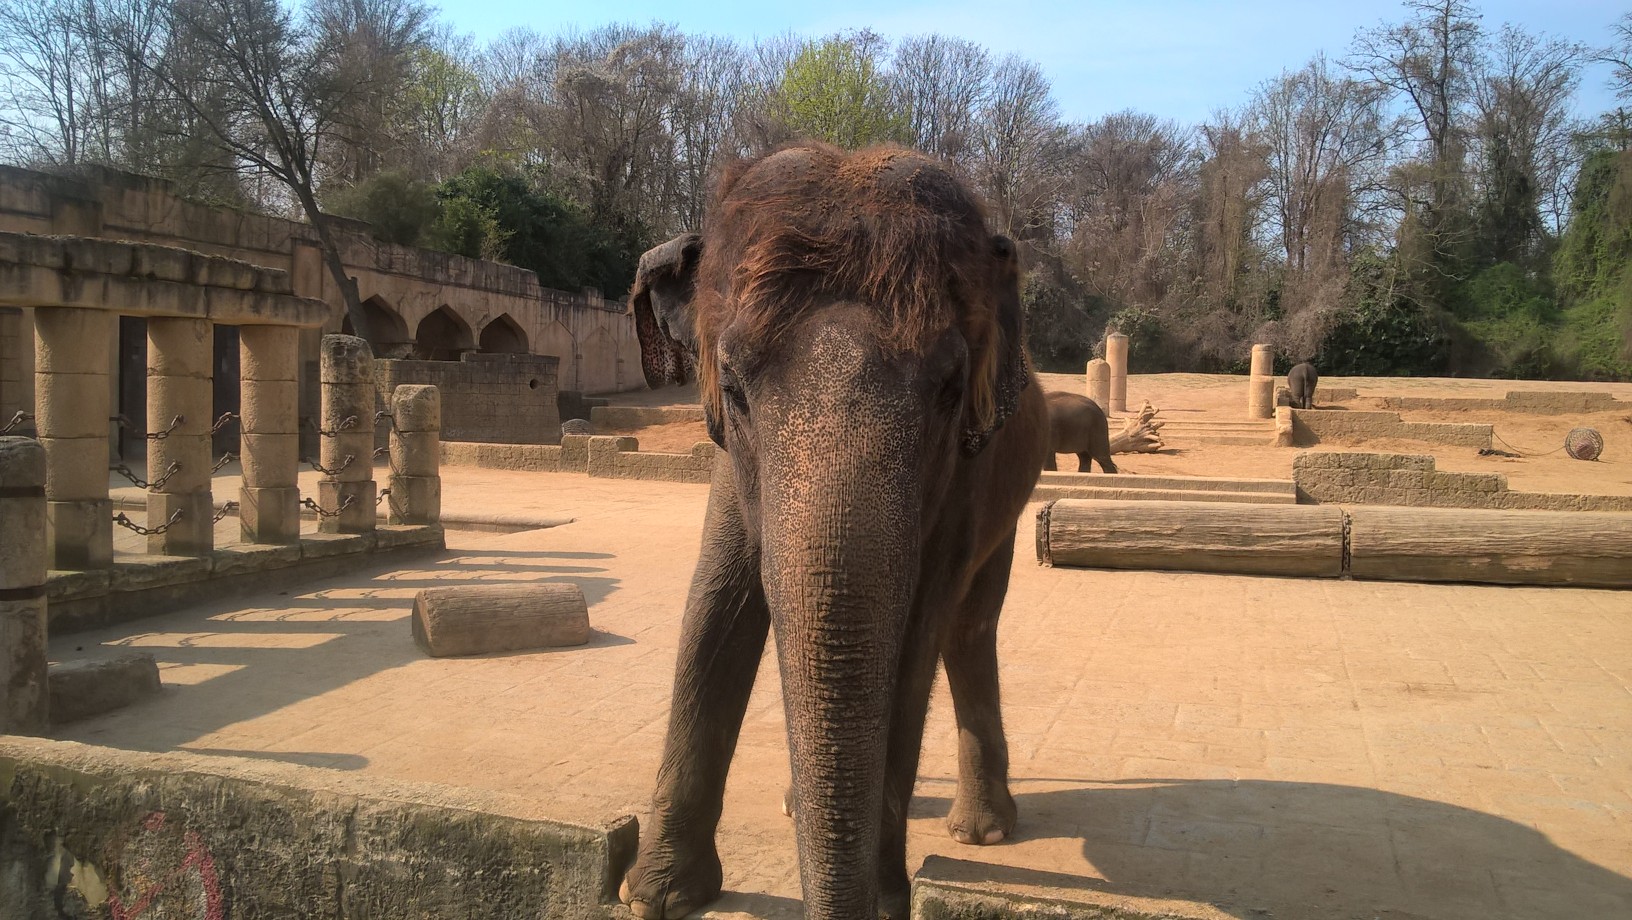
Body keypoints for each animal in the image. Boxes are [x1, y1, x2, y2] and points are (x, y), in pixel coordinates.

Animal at [616, 143, 1051, 920]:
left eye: (950, 391)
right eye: (733, 388)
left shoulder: (964, 478)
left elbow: (915, 636)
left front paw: (885, 902)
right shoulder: (732, 464)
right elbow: (716, 607)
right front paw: (655, 897)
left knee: (969, 627)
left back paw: (983, 832)